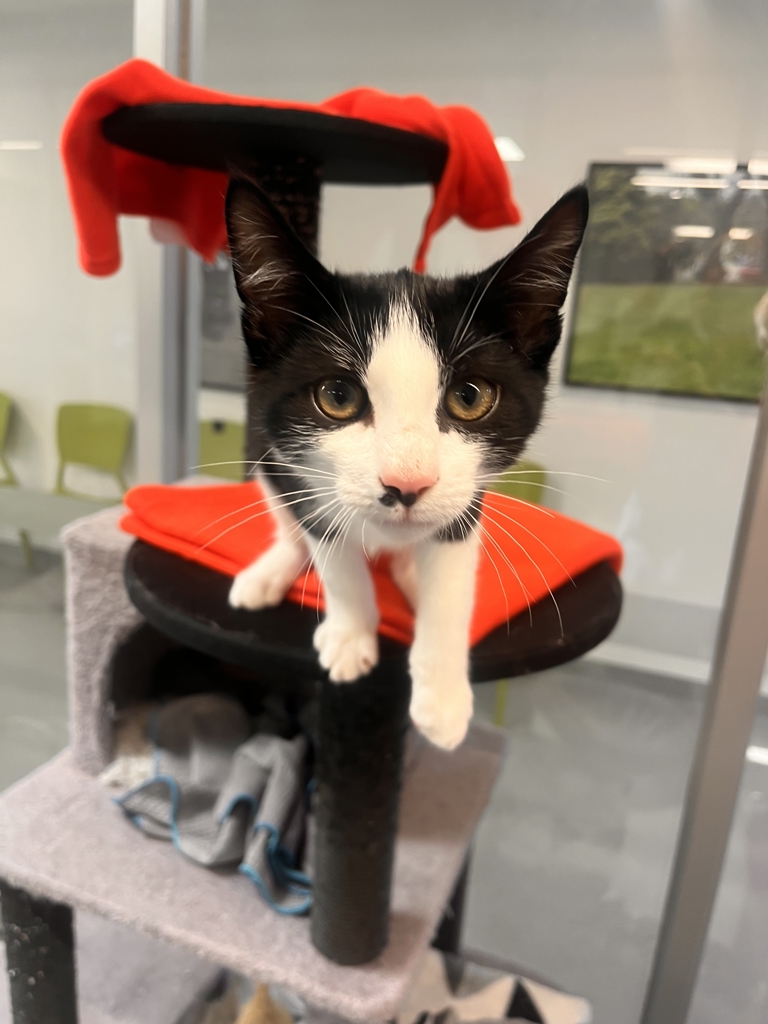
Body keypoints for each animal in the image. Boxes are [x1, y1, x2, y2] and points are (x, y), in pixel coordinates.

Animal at [224, 179, 588, 750]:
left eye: (469, 396)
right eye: (336, 396)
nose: (407, 484)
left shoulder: (468, 493)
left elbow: (452, 576)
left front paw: (443, 694)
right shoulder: (296, 469)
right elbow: (332, 551)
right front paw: (352, 635)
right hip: (267, 454)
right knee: (290, 523)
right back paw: (274, 569)